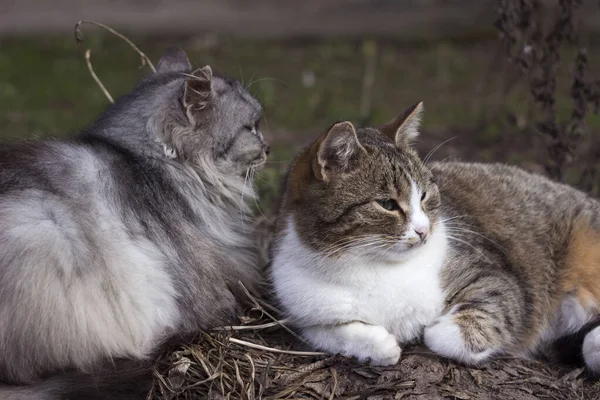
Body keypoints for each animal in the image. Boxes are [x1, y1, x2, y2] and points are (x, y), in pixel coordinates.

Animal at [270, 101, 600, 374]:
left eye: (424, 195)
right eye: (387, 203)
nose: (423, 230)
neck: (369, 264)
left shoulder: (495, 275)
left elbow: (465, 323)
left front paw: (431, 331)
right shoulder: (306, 313)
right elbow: (329, 332)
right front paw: (378, 346)